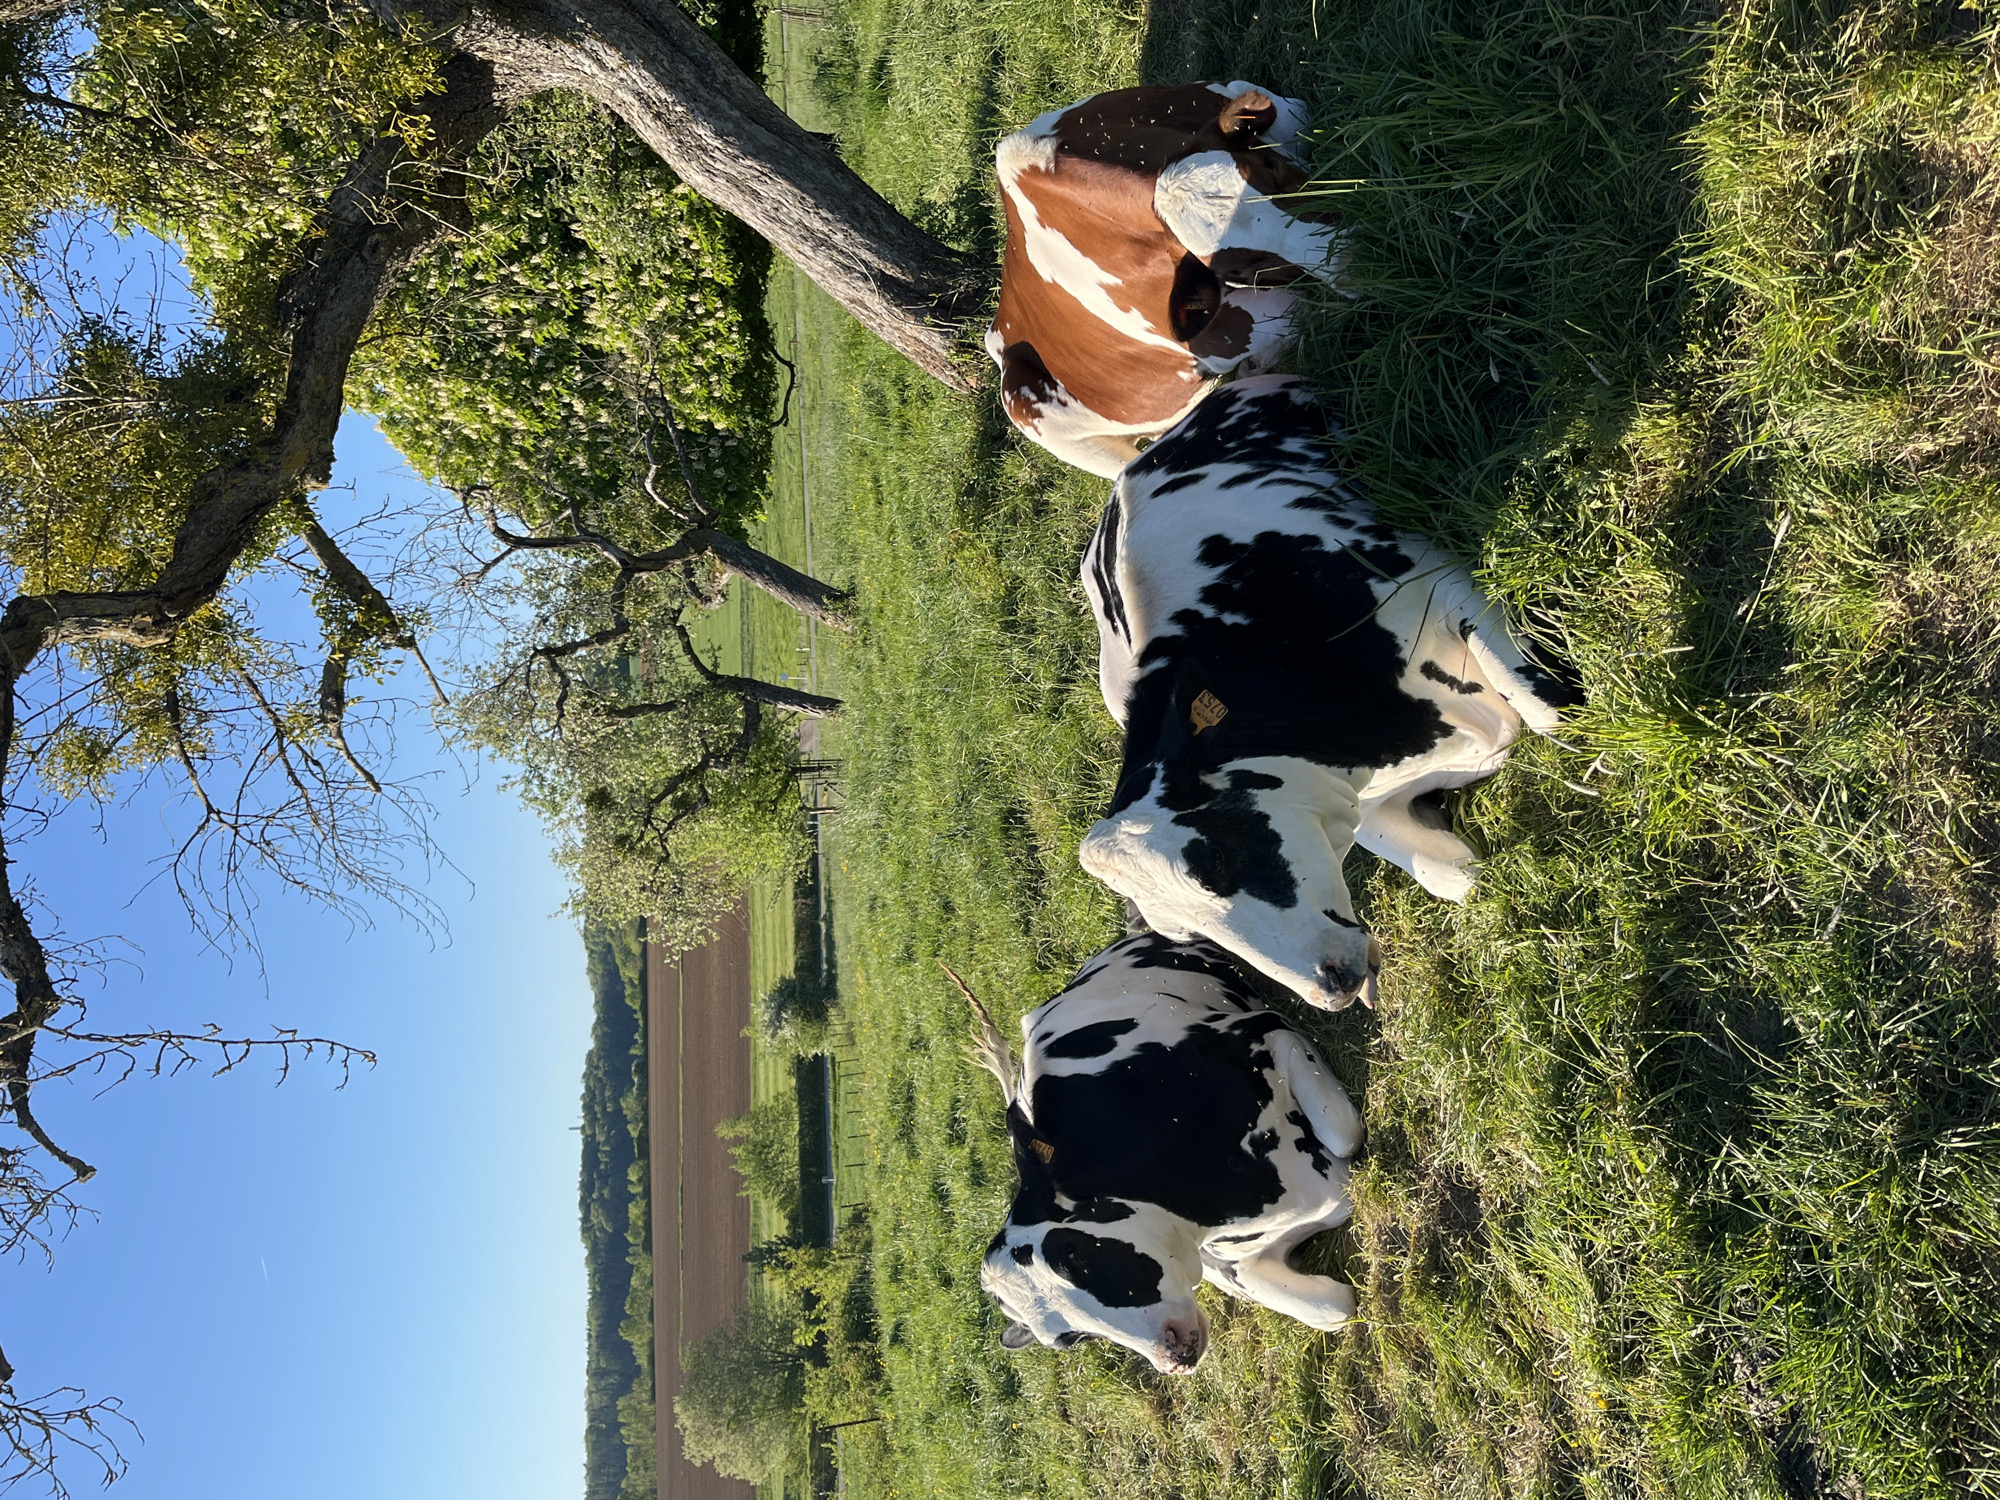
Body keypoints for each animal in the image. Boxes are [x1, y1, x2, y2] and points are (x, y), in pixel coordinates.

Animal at [964, 932, 1364, 1372]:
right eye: (1070, 1338)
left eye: (1070, 1256)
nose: (1174, 1353)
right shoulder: (1239, 1264)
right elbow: (1334, 1308)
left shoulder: (1261, 1031)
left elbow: (1344, 1133)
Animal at [990, 82, 1344, 478]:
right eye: (1236, 271)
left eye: (1270, 167)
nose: (1348, 258)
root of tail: (1000, 331)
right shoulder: (1219, 339)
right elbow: (1298, 307)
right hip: (1032, 413)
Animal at [1077, 375, 1581, 1012]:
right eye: (1188, 936)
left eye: (1212, 858)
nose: (1331, 983)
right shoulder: (1365, 800)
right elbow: (1457, 879)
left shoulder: (1442, 582)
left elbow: (1551, 713)